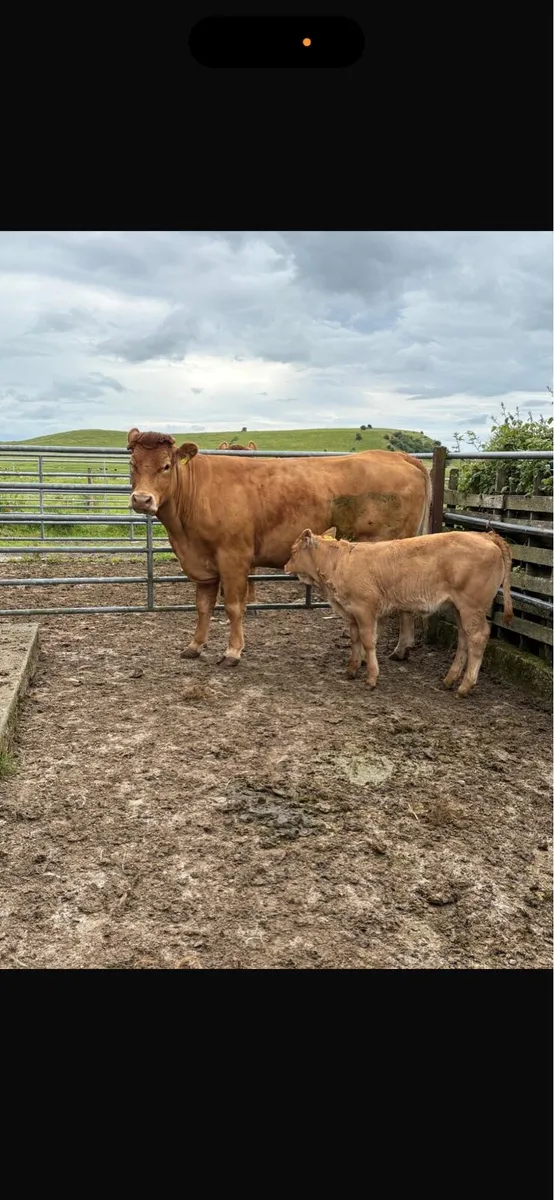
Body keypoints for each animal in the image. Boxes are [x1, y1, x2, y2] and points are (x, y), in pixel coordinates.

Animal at [127, 428, 431, 667]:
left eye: (166, 466)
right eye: (132, 463)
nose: (142, 499)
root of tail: (398, 456)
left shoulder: (233, 557)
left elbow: (234, 607)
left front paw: (233, 651)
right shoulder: (202, 564)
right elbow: (203, 607)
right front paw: (194, 646)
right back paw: (402, 649)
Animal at [284, 527, 513, 696]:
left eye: (293, 551)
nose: (285, 566)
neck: (339, 562)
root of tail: (484, 535)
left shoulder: (364, 609)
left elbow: (368, 641)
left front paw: (371, 678)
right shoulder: (351, 613)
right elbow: (355, 640)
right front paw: (351, 669)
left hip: (471, 607)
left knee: (477, 637)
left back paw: (465, 686)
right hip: (459, 608)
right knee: (464, 638)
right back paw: (449, 680)